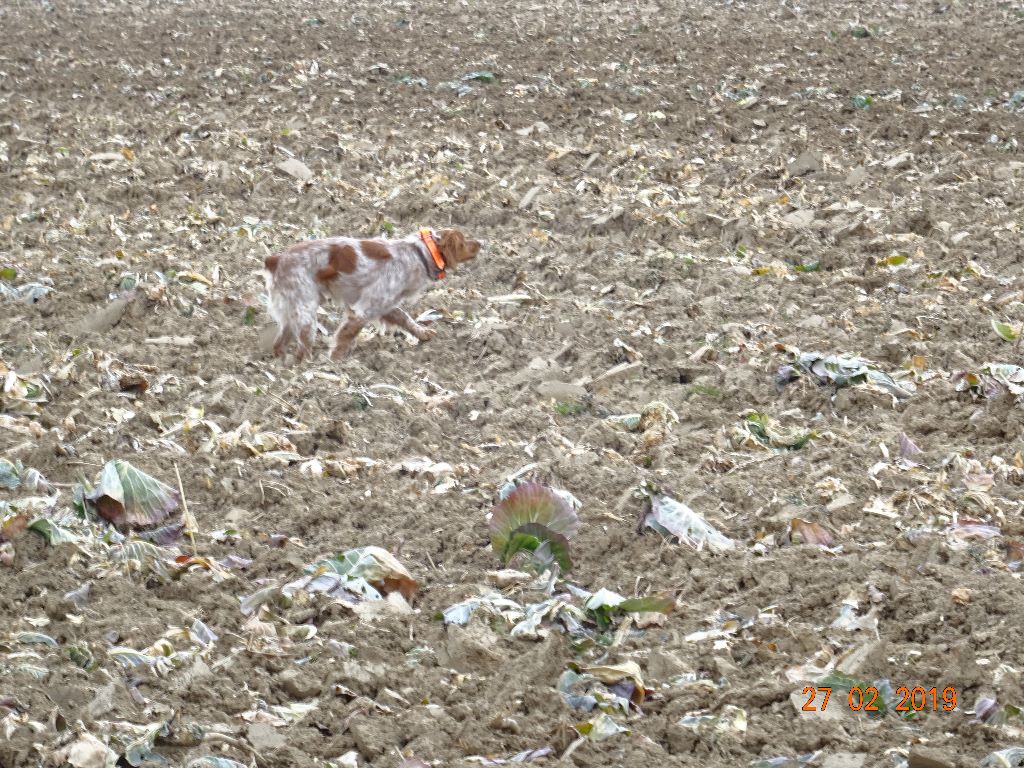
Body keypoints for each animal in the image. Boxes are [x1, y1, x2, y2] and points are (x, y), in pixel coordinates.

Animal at [264, 227, 479, 362]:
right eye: (463, 241)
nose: (481, 242)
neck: (419, 255)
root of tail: (276, 259)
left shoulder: (386, 304)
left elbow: (405, 317)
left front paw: (422, 332)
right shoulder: (362, 311)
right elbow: (345, 338)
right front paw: (335, 362)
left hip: (292, 313)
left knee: (278, 345)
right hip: (306, 315)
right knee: (302, 352)